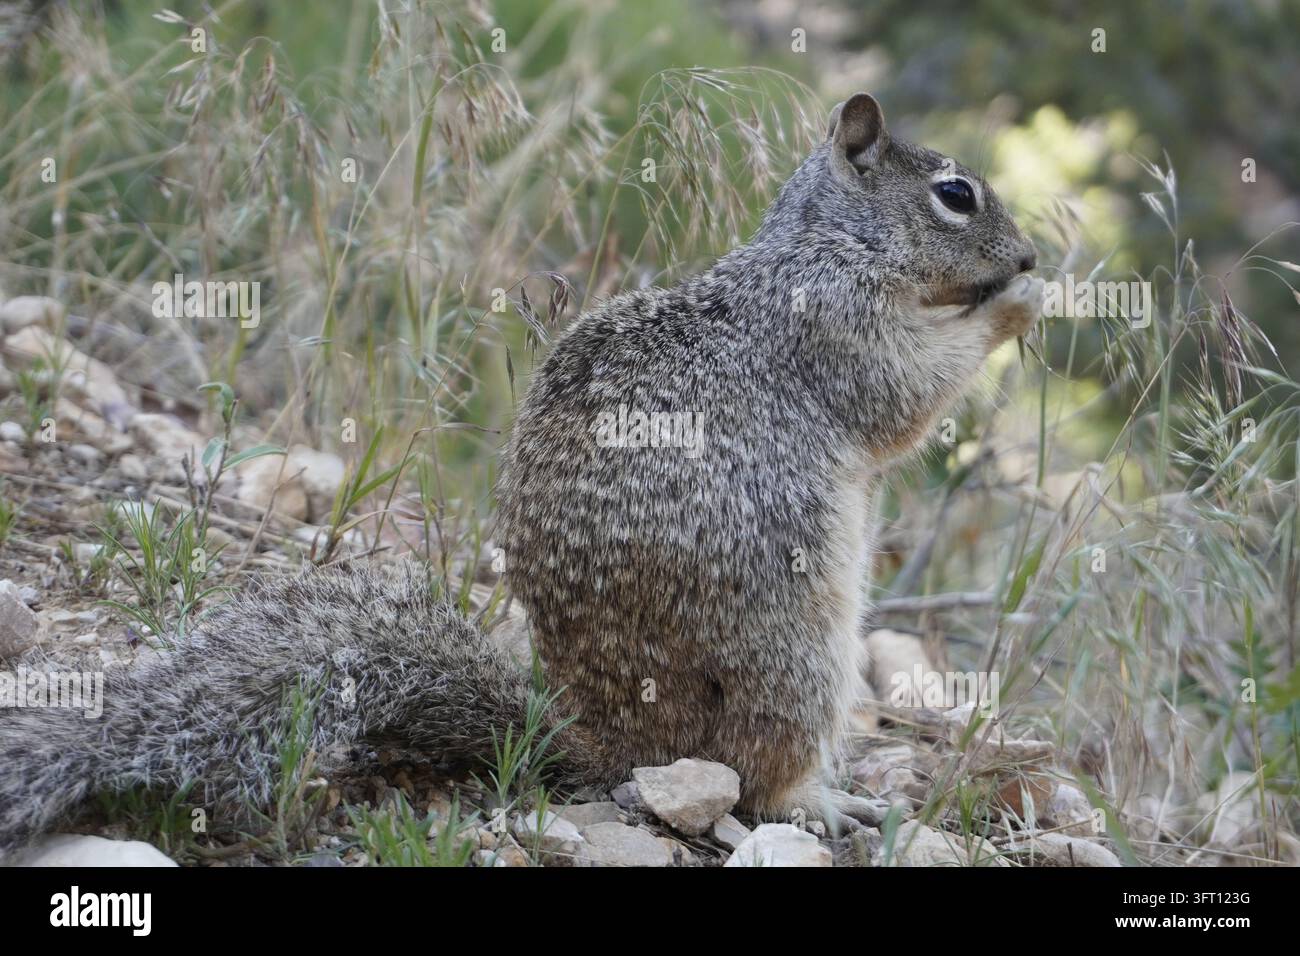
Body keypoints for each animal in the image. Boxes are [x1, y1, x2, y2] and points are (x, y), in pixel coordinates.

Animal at [0, 93, 1043, 856]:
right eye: (956, 194)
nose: (1030, 252)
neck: (826, 243)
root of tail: (604, 738)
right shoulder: (834, 323)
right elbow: (907, 392)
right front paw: (1018, 305)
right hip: (799, 660)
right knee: (756, 779)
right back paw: (824, 803)